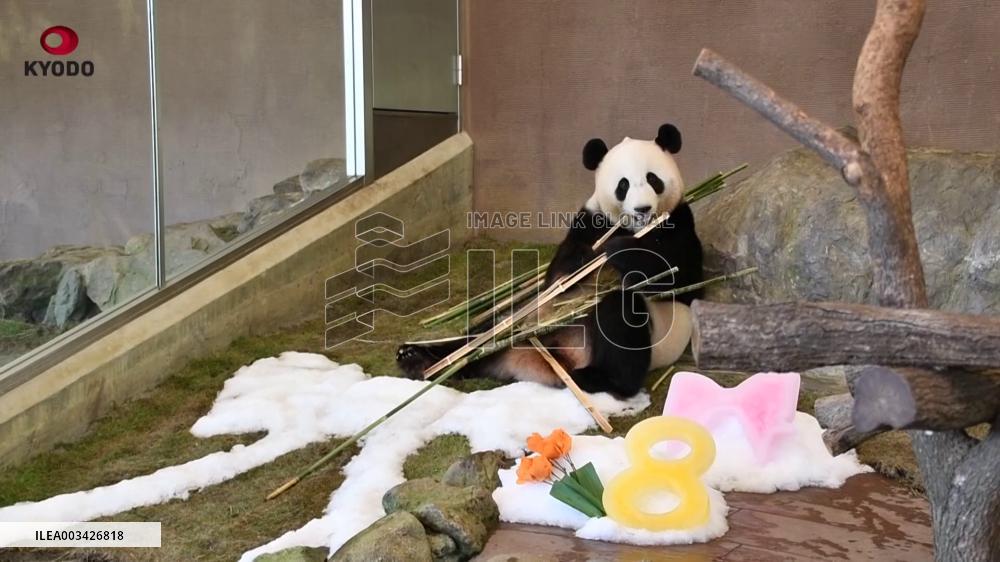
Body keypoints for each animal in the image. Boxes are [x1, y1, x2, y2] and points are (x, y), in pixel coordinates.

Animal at [397, 123, 703, 398]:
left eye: (653, 179)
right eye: (623, 185)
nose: (643, 209)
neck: (633, 229)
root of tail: (542, 358)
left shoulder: (681, 222)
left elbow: (678, 274)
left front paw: (618, 250)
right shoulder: (589, 221)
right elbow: (559, 274)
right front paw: (584, 262)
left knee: (620, 314)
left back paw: (598, 378)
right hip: (524, 319)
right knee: (484, 334)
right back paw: (419, 358)